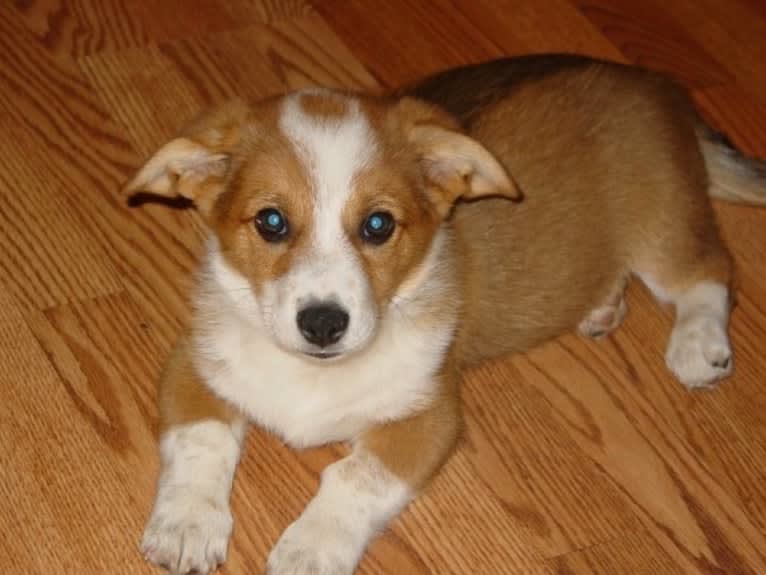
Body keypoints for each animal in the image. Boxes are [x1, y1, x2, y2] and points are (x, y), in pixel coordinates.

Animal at [126, 55, 766, 575]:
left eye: (378, 225)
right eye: (271, 222)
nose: (324, 324)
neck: (314, 372)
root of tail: (659, 87)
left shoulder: (426, 417)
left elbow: (353, 478)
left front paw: (311, 547)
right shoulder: (194, 367)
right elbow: (202, 442)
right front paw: (187, 524)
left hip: (662, 221)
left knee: (709, 269)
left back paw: (698, 344)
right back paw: (603, 307)